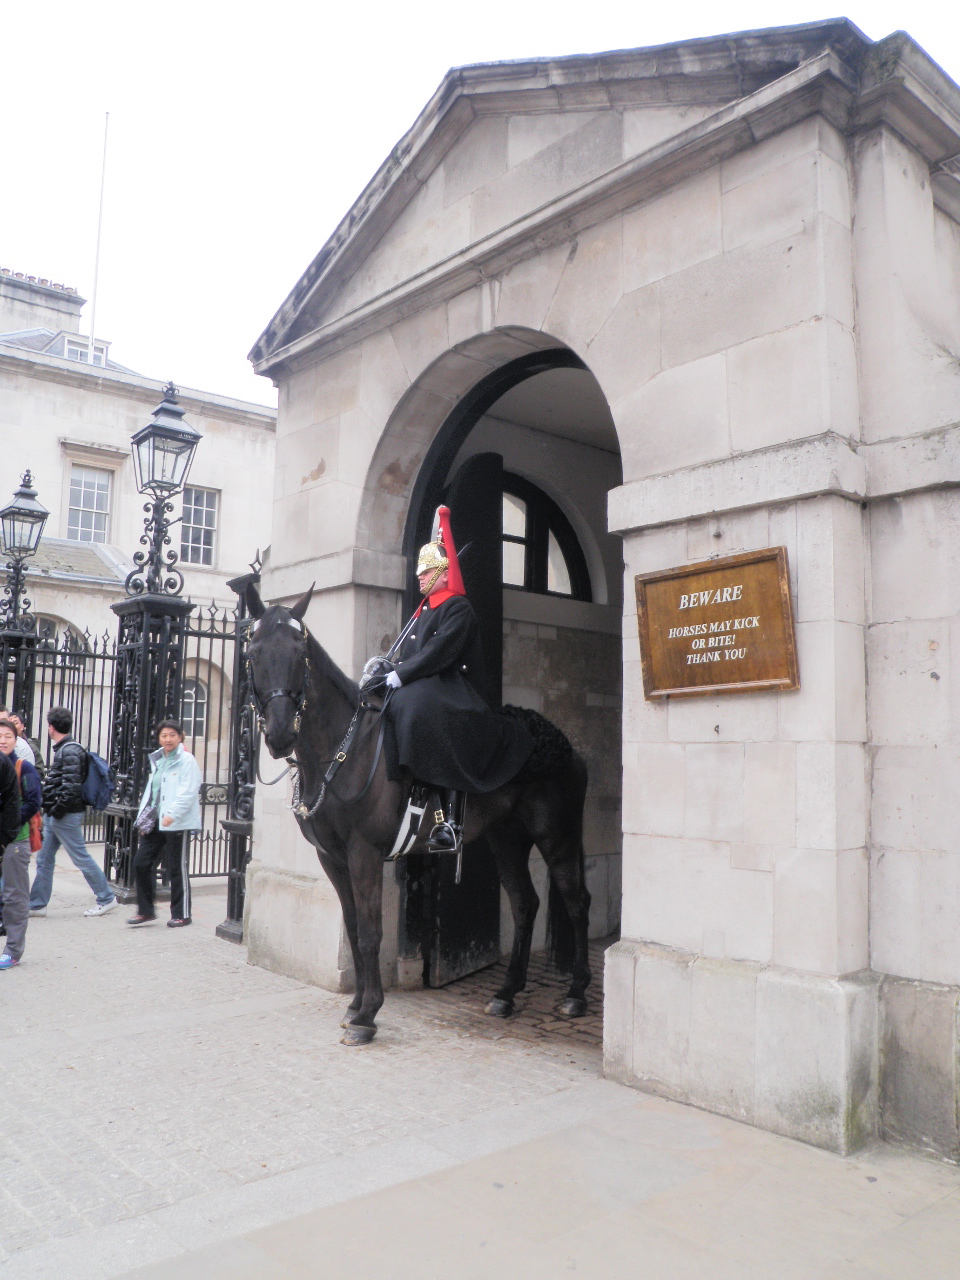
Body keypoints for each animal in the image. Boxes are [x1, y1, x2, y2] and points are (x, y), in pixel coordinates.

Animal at [245, 586, 593, 1044]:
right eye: (253, 652)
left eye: (300, 652)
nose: (280, 734)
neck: (344, 748)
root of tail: (564, 744)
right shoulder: (332, 858)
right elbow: (352, 929)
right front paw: (355, 1005)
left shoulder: (364, 853)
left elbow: (370, 932)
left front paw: (367, 1014)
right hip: (505, 837)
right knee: (525, 904)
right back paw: (506, 993)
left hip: (557, 835)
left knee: (576, 902)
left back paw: (576, 994)